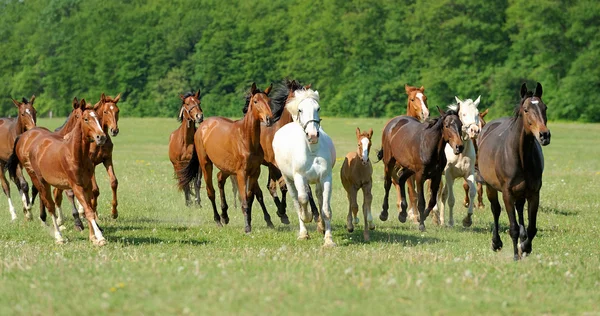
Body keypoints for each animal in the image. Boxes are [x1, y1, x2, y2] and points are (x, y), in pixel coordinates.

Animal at [6, 100, 108, 246]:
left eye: (99, 118)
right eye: (86, 119)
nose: (101, 137)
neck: (75, 154)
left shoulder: (87, 185)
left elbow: (90, 209)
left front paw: (92, 237)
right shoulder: (76, 186)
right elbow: (88, 211)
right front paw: (99, 237)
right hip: (40, 180)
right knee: (50, 206)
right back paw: (58, 236)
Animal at [177, 82, 274, 233]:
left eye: (268, 101)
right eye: (256, 101)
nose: (269, 119)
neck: (246, 139)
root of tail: (203, 126)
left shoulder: (254, 172)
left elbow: (250, 197)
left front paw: (250, 222)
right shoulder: (241, 173)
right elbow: (244, 199)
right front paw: (247, 227)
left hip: (225, 167)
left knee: (220, 179)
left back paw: (225, 215)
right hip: (206, 165)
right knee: (211, 191)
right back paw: (218, 219)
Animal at [274, 87, 338, 246]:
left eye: (318, 108)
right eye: (300, 109)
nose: (313, 135)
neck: (312, 150)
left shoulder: (326, 178)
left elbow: (326, 210)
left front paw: (328, 240)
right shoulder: (299, 178)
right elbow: (302, 199)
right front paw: (307, 217)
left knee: (319, 198)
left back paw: (321, 226)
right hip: (289, 180)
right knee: (296, 201)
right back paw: (304, 233)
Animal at [434, 96, 480, 227]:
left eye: (477, 114)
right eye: (463, 114)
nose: (474, 130)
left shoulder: (469, 174)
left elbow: (472, 192)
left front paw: (467, 219)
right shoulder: (449, 175)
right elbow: (451, 200)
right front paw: (451, 222)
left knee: (442, 194)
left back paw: (442, 220)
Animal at [476, 82, 552, 260]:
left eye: (544, 107)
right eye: (526, 109)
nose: (544, 135)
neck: (520, 156)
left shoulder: (534, 193)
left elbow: (531, 227)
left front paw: (525, 247)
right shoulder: (507, 193)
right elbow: (513, 227)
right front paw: (516, 255)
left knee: (519, 209)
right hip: (491, 187)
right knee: (496, 210)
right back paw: (496, 242)